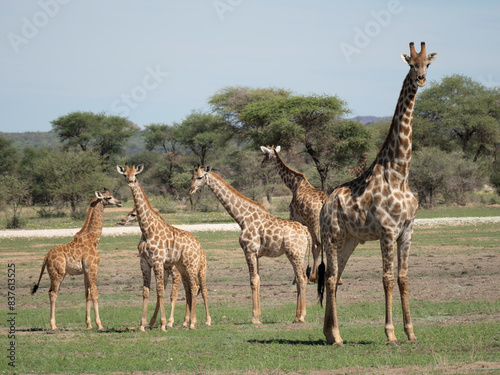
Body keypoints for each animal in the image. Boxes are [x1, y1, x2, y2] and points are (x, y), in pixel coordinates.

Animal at [31, 189, 123, 330]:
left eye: (112, 195)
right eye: (108, 197)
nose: (119, 202)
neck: (93, 239)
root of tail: (46, 257)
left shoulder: (85, 271)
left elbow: (87, 294)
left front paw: (89, 324)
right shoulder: (93, 268)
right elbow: (95, 294)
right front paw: (99, 325)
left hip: (58, 274)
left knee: (51, 292)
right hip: (58, 273)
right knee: (52, 293)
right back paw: (53, 326)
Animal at [117, 164, 211, 332]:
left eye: (136, 175)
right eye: (125, 174)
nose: (130, 182)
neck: (147, 230)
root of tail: (198, 245)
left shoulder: (158, 261)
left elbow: (160, 291)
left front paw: (163, 323)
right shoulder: (144, 262)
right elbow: (146, 292)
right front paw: (143, 325)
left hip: (195, 266)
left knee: (198, 288)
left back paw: (198, 322)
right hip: (183, 268)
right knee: (191, 289)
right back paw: (188, 322)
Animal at [190, 166, 312, 324]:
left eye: (199, 177)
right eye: (192, 177)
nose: (191, 190)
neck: (242, 218)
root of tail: (306, 231)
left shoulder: (249, 251)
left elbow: (253, 281)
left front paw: (254, 318)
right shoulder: (257, 254)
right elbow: (258, 280)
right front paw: (258, 316)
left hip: (295, 254)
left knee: (302, 278)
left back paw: (301, 316)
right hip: (297, 254)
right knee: (299, 279)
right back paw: (297, 316)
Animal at [318, 41, 436, 346]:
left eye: (428, 64)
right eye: (411, 64)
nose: (421, 79)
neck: (400, 174)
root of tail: (325, 204)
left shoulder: (407, 230)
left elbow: (403, 278)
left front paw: (411, 332)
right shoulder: (387, 231)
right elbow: (386, 278)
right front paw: (391, 334)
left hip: (349, 240)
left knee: (335, 277)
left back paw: (329, 333)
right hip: (332, 236)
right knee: (332, 278)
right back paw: (337, 336)